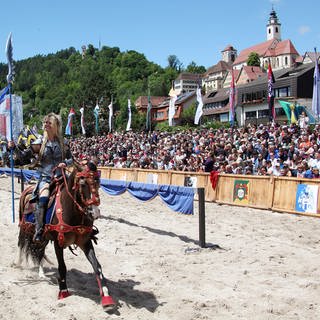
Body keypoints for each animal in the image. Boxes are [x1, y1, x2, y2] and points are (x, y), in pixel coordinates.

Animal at [16, 162, 116, 310]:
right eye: (83, 184)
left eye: (98, 182)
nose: (94, 213)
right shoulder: (59, 243)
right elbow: (62, 267)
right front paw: (63, 291)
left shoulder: (85, 242)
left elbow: (97, 266)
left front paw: (106, 297)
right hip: (26, 229)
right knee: (21, 244)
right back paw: (18, 262)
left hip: (42, 237)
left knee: (39, 251)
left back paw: (41, 273)